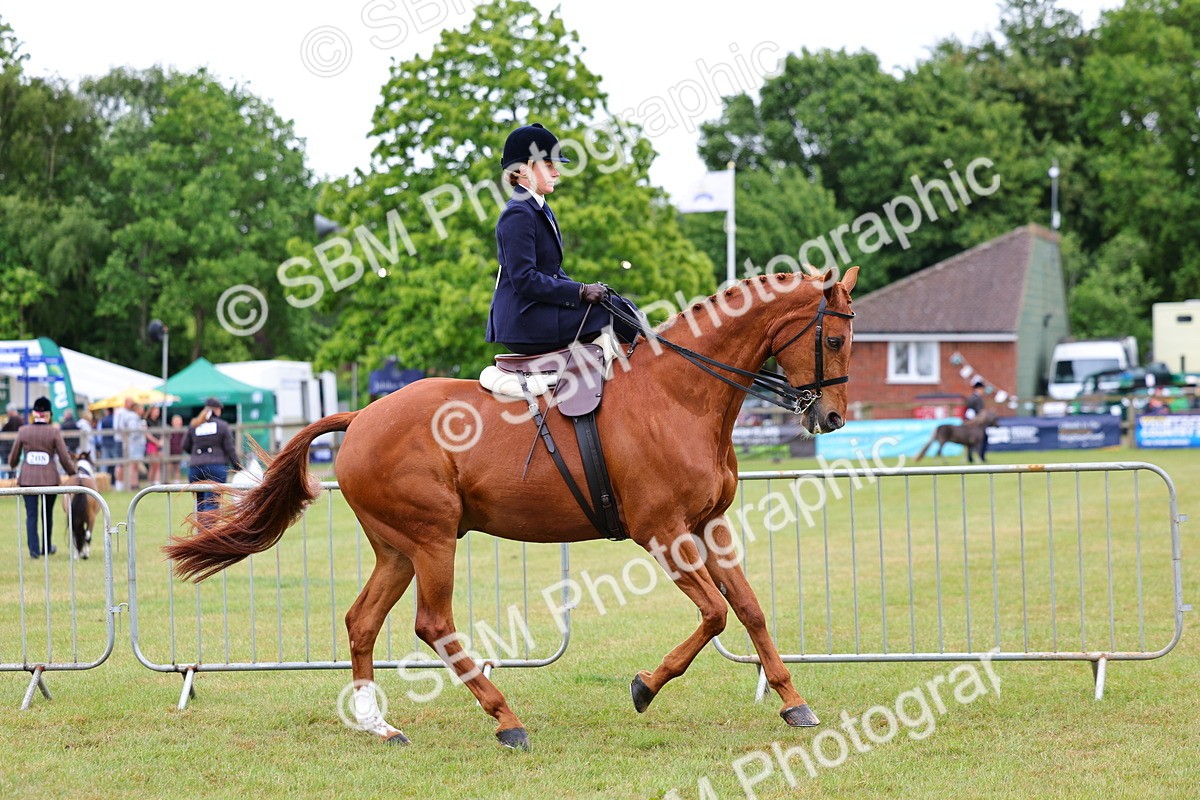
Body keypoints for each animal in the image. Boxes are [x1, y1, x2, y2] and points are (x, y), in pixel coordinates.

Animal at [165, 266, 860, 750]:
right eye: (832, 338)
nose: (829, 419)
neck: (681, 395)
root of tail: (361, 416)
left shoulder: (708, 527)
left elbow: (750, 609)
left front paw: (793, 702)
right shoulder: (662, 532)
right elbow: (715, 614)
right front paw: (644, 687)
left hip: (397, 547)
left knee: (362, 621)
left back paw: (376, 723)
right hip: (432, 540)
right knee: (433, 625)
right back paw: (506, 721)